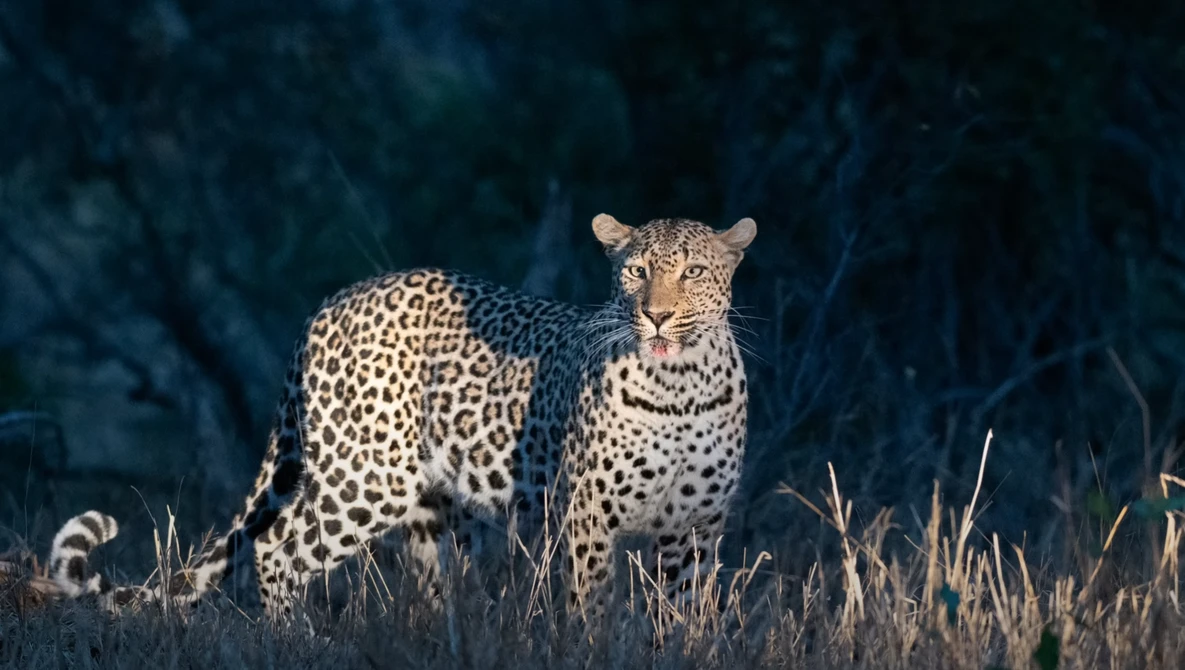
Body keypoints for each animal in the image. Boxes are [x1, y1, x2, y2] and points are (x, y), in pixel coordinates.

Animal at [49, 214, 756, 620]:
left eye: (693, 271)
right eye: (635, 270)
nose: (657, 315)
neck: (679, 386)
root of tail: (329, 304)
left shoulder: (697, 527)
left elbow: (689, 620)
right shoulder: (587, 517)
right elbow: (592, 613)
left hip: (428, 509)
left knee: (431, 589)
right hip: (366, 478)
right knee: (278, 549)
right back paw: (294, 643)